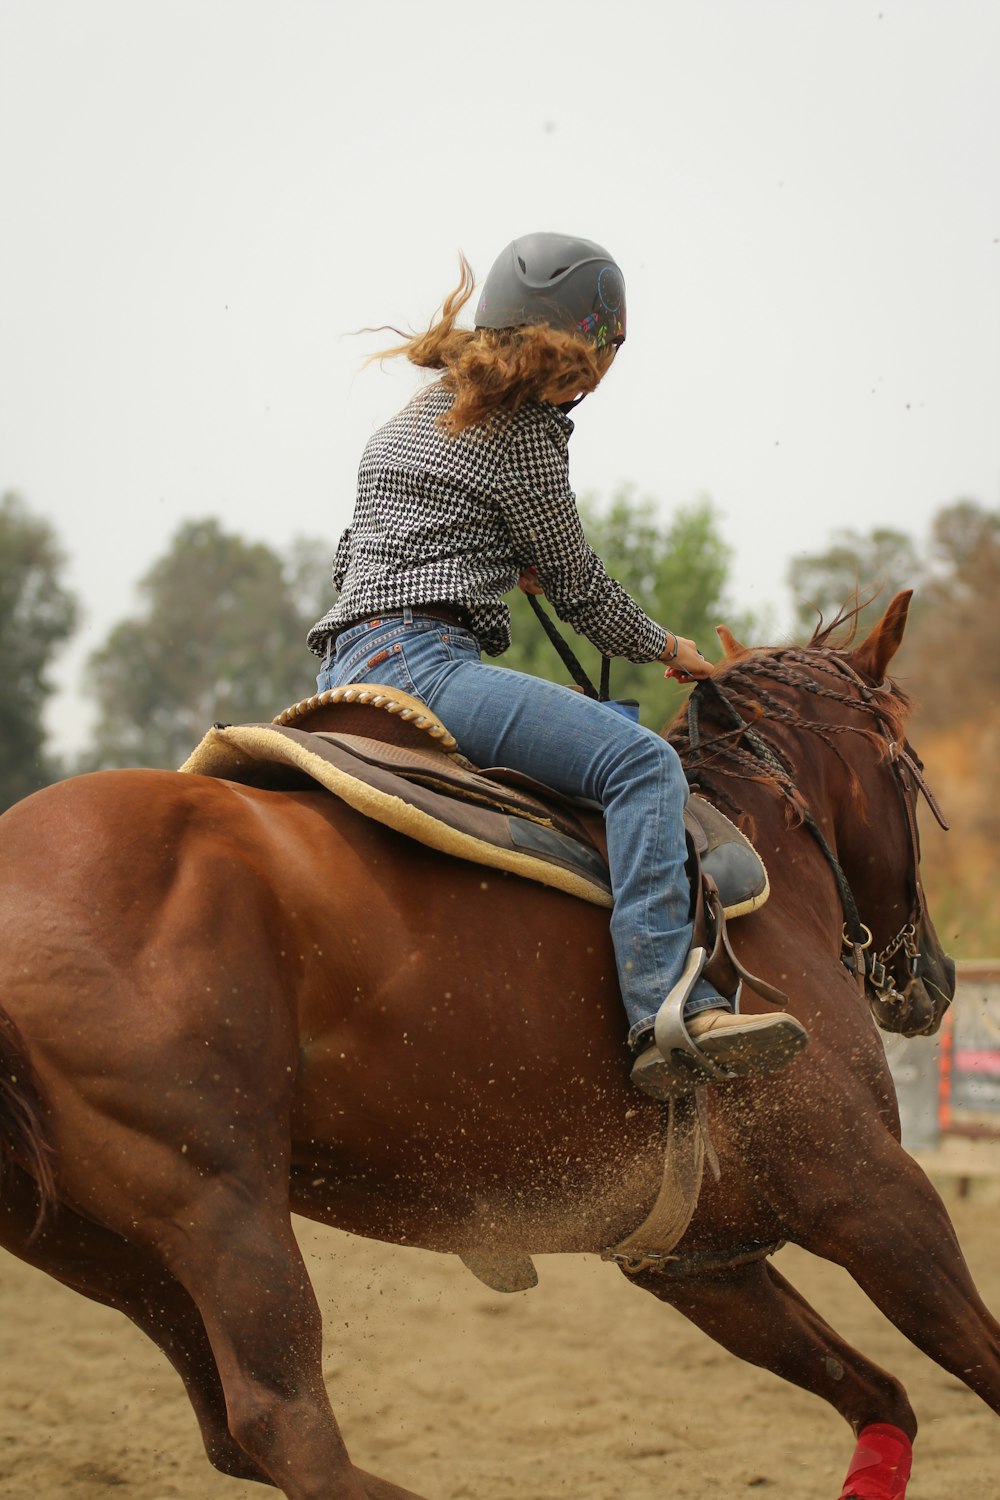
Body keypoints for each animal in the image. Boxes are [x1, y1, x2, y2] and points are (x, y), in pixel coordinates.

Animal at [0, 591, 995, 1494]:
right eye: (903, 764)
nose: (937, 975)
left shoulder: (701, 1260)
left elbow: (878, 1393)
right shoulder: (870, 1191)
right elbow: (981, 1363)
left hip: (98, 1246)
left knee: (228, 1432)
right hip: (223, 1210)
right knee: (284, 1425)